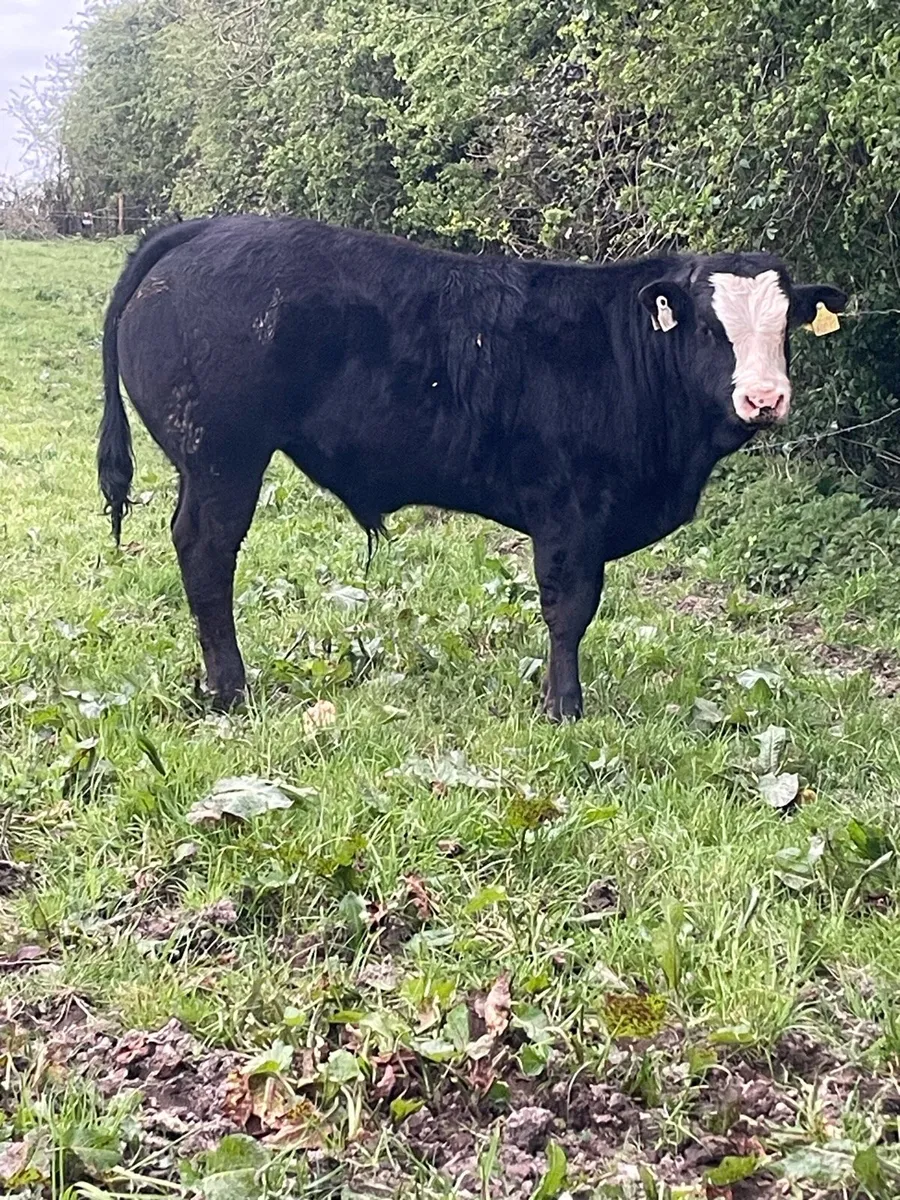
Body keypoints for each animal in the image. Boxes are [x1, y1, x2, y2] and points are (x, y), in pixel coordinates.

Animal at [98, 216, 846, 720]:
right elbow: (568, 610)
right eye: (711, 328)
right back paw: (230, 688)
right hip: (223, 457)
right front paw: (563, 705)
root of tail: (209, 227)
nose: (765, 399)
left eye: (785, 328)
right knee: (206, 552)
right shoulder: (569, 513)